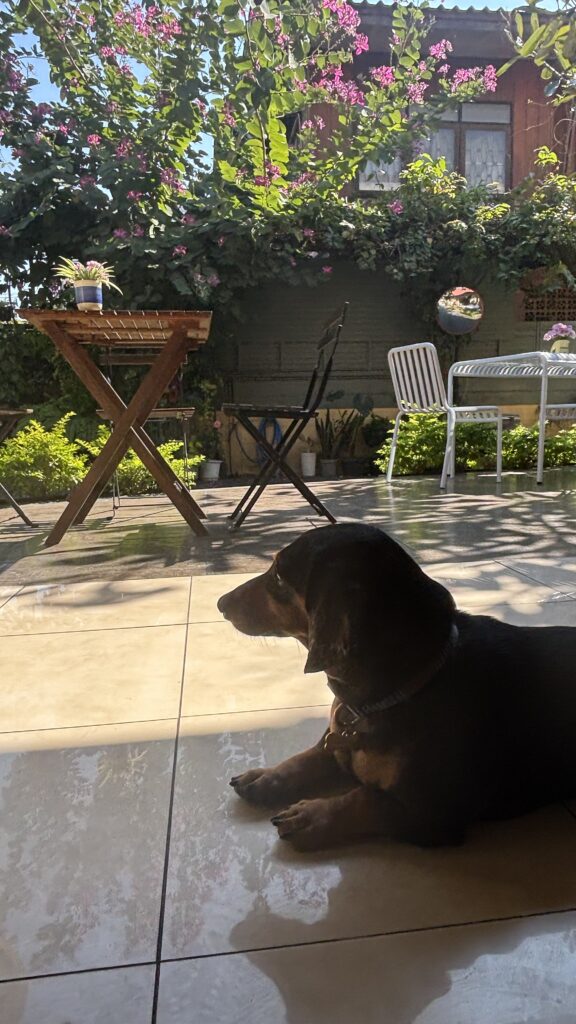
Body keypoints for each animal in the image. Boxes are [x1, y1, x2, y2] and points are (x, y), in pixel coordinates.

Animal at [217, 523, 576, 851]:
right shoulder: (336, 742)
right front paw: (266, 777)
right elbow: (308, 756)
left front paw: (310, 816)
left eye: (278, 576)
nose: (221, 603)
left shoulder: (431, 813)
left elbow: (365, 799)